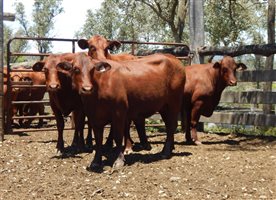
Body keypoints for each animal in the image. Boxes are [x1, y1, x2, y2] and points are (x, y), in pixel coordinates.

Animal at [59, 52, 187, 171]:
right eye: (76, 69)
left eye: (92, 69)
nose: (87, 88)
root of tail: (173, 58)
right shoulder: (94, 117)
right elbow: (99, 140)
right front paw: (95, 161)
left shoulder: (119, 113)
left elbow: (118, 136)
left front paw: (119, 160)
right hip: (164, 106)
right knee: (169, 125)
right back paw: (171, 148)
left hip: (174, 103)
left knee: (171, 125)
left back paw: (166, 151)